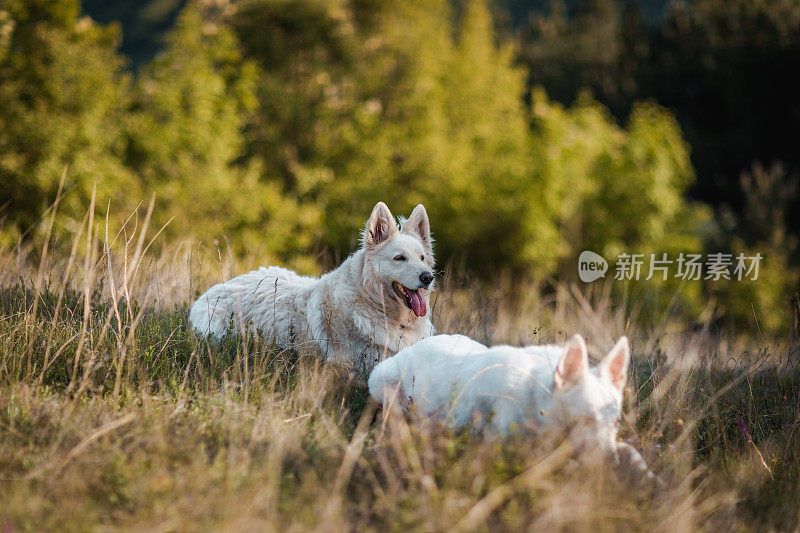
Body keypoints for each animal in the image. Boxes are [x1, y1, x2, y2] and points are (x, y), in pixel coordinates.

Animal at [368, 332, 664, 482]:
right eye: (587, 420)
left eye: (615, 423)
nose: (610, 464)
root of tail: (416, 344)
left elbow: (632, 451)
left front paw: (651, 477)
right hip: (382, 380)